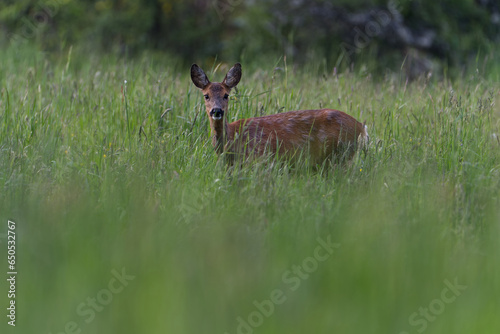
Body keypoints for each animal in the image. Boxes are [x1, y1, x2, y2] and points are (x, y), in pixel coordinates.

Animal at [190, 62, 368, 164]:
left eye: (226, 95)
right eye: (206, 95)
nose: (216, 110)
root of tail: (362, 127)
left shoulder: (258, 160)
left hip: (342, 155)